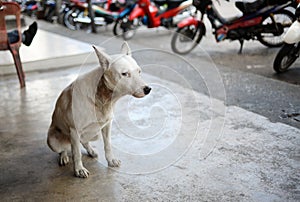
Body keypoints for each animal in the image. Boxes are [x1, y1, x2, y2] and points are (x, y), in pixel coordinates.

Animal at [47, 41, 151, 178]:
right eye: (124, 74)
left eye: (139, 71)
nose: (148, 89)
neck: (102, 96)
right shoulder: (74, 130)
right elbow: (77, 154)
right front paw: (79, 169)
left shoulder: (107, 125)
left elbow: (108, 145)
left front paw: (111, 160)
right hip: (52, 140)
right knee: (65, 149)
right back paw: (64, 156)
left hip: (94, 135)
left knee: (83, 142)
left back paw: (91, 150)